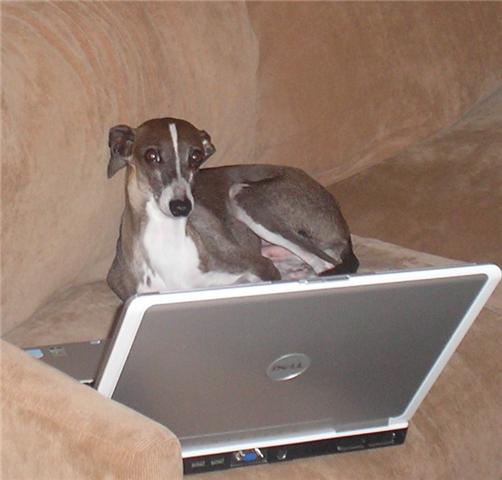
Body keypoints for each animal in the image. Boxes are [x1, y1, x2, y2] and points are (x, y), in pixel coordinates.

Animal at [106, 117, 358, 301]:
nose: (181, 207)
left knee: (325, 264)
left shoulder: (260, 267)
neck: (167, 242)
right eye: (151, 155)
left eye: (196, 156)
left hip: (244, 195)